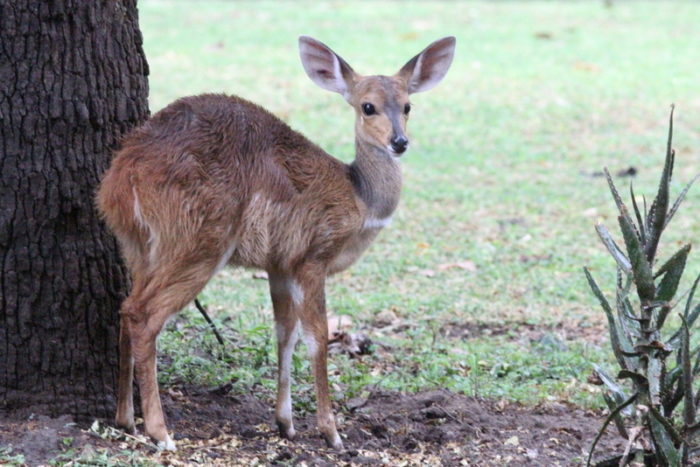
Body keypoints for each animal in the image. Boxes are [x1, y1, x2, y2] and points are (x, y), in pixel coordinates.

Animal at [98, 34, 456, 452]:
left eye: (407, 105)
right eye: (368, 106)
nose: (399, 142)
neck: (358, 198)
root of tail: (124, 177)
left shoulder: (280, 264)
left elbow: (285, 333)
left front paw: (285, 423)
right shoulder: (312, 257)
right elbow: (317, 336)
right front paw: (332, 433)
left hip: (138, 246)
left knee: (125, 306)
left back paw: (126, 418)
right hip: (197, 244)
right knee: (143, 314)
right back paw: (161, 432)